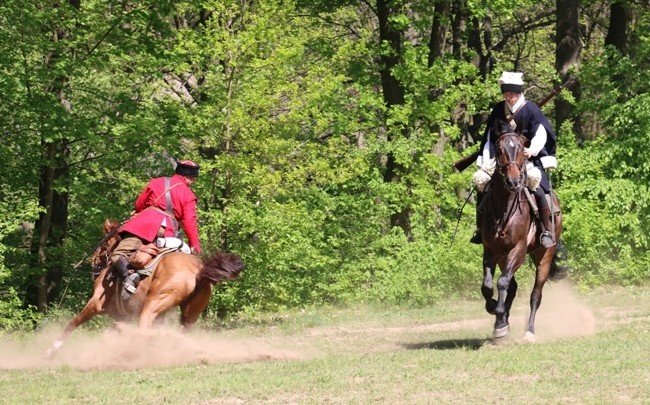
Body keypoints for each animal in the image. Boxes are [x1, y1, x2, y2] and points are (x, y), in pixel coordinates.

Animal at [45, 219, 243, 356]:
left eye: (103, 245)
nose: (94, 268)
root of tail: (198, 271)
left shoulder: (95, 304)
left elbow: (73, 323)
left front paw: (52, 350)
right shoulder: (122, 319)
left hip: (151, 306)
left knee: (144, 331)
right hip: (188, 315)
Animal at [478, 124, 564, 340]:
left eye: (520, 149)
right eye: (499, 150)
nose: (513, 182)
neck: (504, 208)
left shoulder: (518, 249)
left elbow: (502, 282)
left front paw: (499, 316)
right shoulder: (491, 251)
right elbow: (487, 286)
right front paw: (496, 314)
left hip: (545, 256)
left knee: (535, 295)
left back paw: (529, 331)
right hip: (503, 257)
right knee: (513, 286)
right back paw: (503, 320)